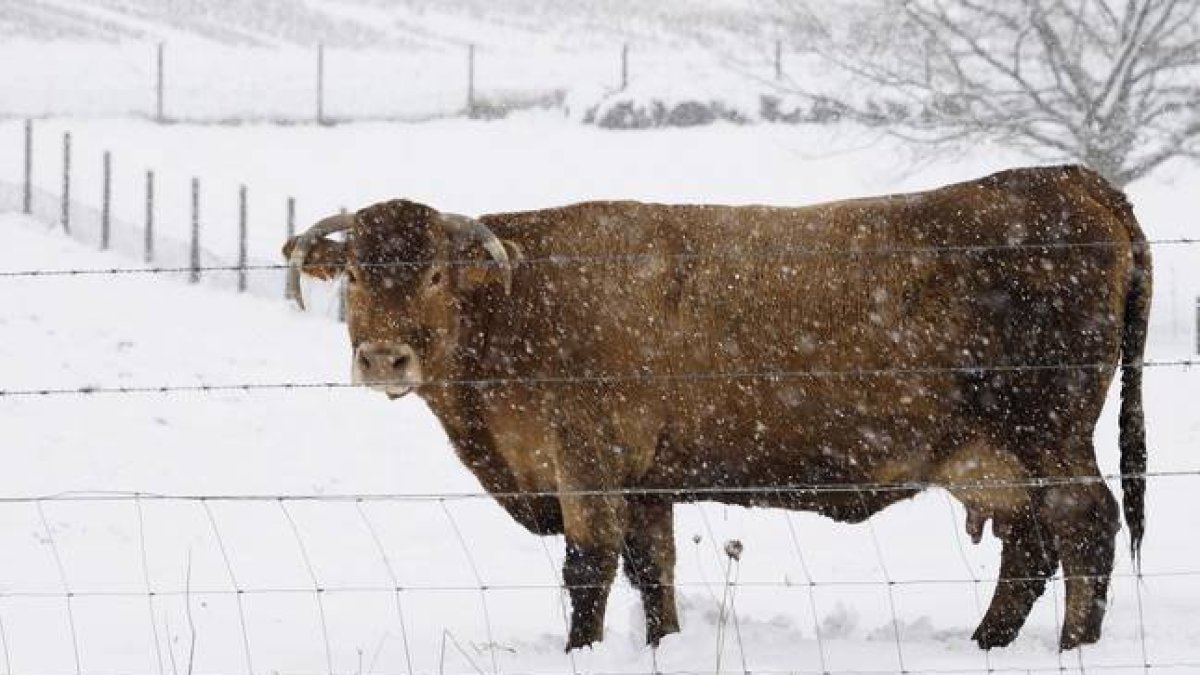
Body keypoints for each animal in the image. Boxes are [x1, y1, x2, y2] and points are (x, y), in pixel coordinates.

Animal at [283, 165, 1150, 652]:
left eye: (434, 274)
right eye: (354, 273)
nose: (383, 357)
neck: (522, 301)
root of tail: (1069, 178)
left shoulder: (585, 460)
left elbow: (590, 569)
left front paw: (580, 650)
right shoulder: (645, 479)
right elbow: (653, 570)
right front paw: (663, 643)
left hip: (1050, 434)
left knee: (1086, 525)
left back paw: (1071, 648)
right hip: (1006, 455)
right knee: (1032, 546)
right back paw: (986, 643)